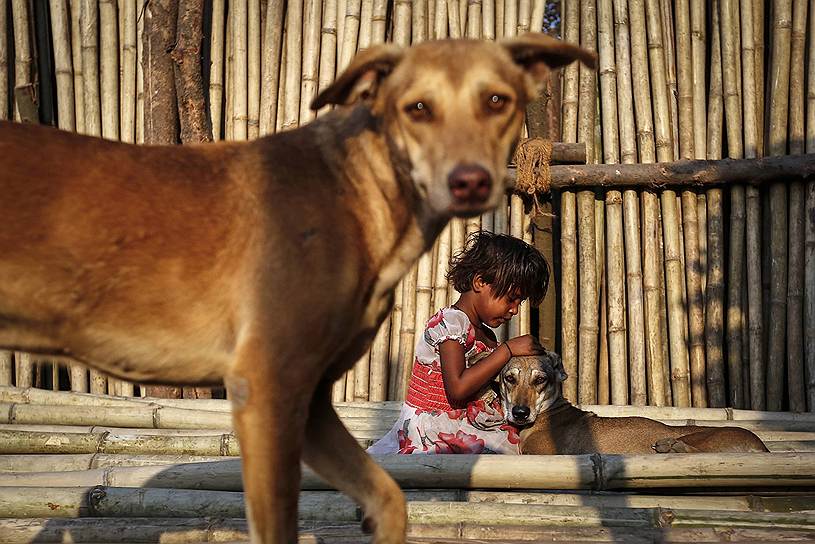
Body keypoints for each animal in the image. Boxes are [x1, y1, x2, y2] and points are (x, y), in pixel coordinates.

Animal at [0, 35, 596, 544]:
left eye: (497, 100)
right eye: (417, 109)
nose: (468, 181)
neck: (356, 194)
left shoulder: (312, 403)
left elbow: (391, 499)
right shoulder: (266, 390)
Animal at [498, 352, 772, 454]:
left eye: (540, 380)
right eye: (509, 378)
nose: (520, 413)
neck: (548, 411)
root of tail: (762, 447)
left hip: (700, 438)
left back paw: (671, 446)